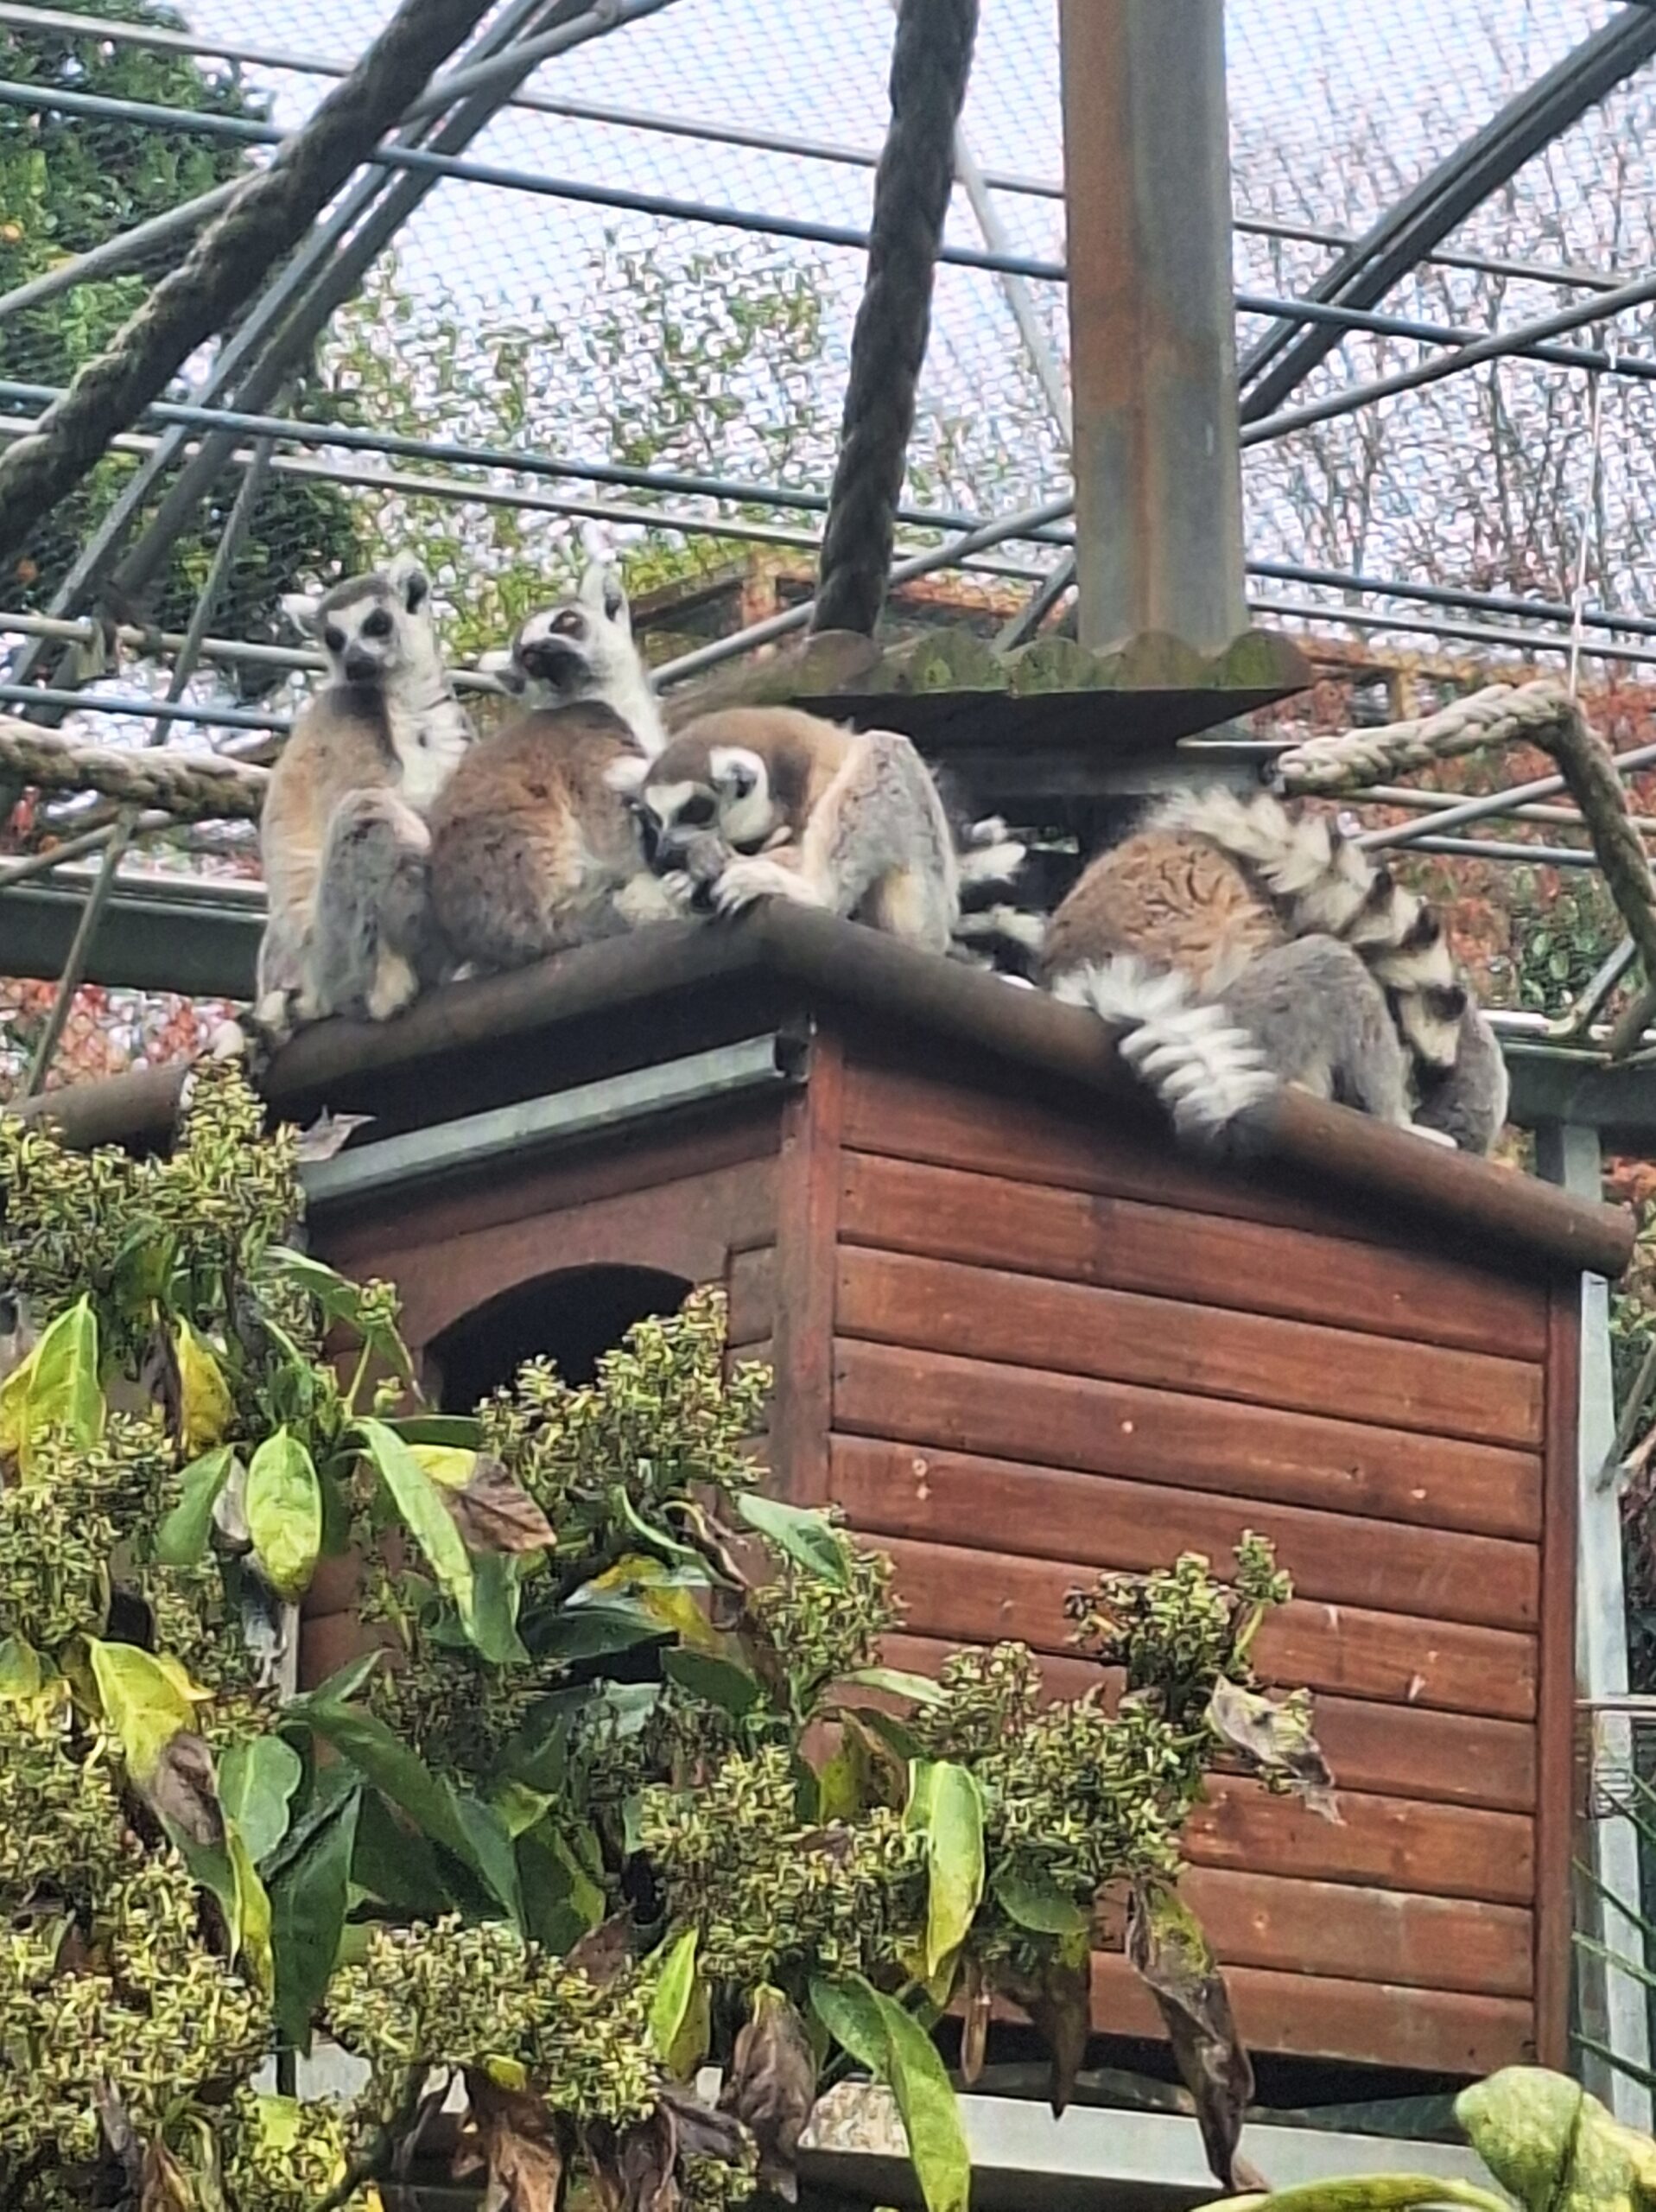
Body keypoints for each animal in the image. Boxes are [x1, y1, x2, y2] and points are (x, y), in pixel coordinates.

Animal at [255, 553, 471, 1032]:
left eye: (376, 624)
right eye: (334, 639)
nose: (353, 661)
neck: (405, 698)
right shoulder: (346, 714)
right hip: (333, 951)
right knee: (367, 812)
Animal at [607, 706, 960, 955]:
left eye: (695, 810)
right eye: (655, 819)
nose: (664, 853)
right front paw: (687, 884)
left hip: (925, 905)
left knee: (884, 748)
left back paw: (814, 894)